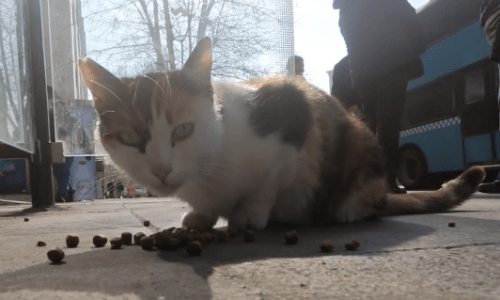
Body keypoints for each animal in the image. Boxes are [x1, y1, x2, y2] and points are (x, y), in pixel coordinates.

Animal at [80, 37, 486, 230]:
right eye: (131, 138)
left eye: (183, 129)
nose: (162, 170)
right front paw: (201, 215)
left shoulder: (291, 115)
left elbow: (269, 183)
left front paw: (250, 213)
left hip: (358, 139)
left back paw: (347, 208)